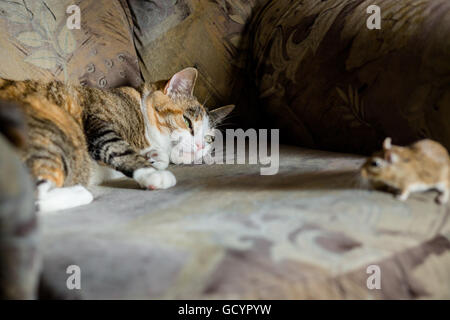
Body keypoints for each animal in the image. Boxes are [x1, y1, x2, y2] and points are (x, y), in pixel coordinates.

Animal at [0, 67, 236, 212]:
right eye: (187, 121)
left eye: (208, 138)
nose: (199, 145)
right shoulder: (97, 118)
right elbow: (116, 146)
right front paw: (152, 172)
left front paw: (154, 157)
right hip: (51, 126)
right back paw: (82, 192)